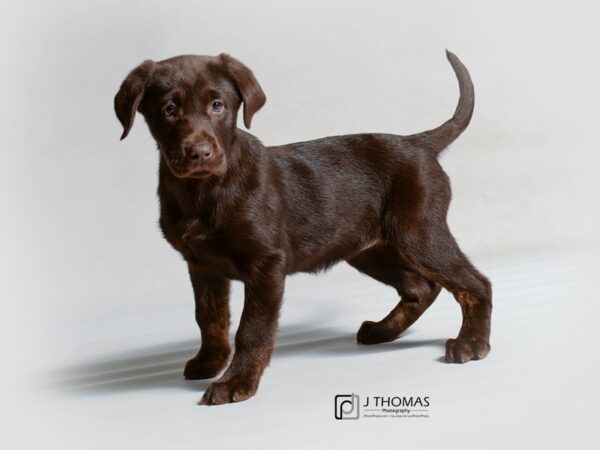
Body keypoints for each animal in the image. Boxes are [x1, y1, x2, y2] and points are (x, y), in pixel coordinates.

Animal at [113, 51, 492, 406]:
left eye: (217, 105)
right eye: (170, 109)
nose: (200, 153)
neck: (202, 190)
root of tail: (418, 142)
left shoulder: (266, 265)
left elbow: (252, 329)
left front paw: (237, 381)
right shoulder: (202, 265)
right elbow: (210, 318)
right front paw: (211, 361)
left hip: (418, 233)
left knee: (474, 284)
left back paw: (472, 344)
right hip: (367, 248)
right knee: (421, 287)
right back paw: (383, 331)